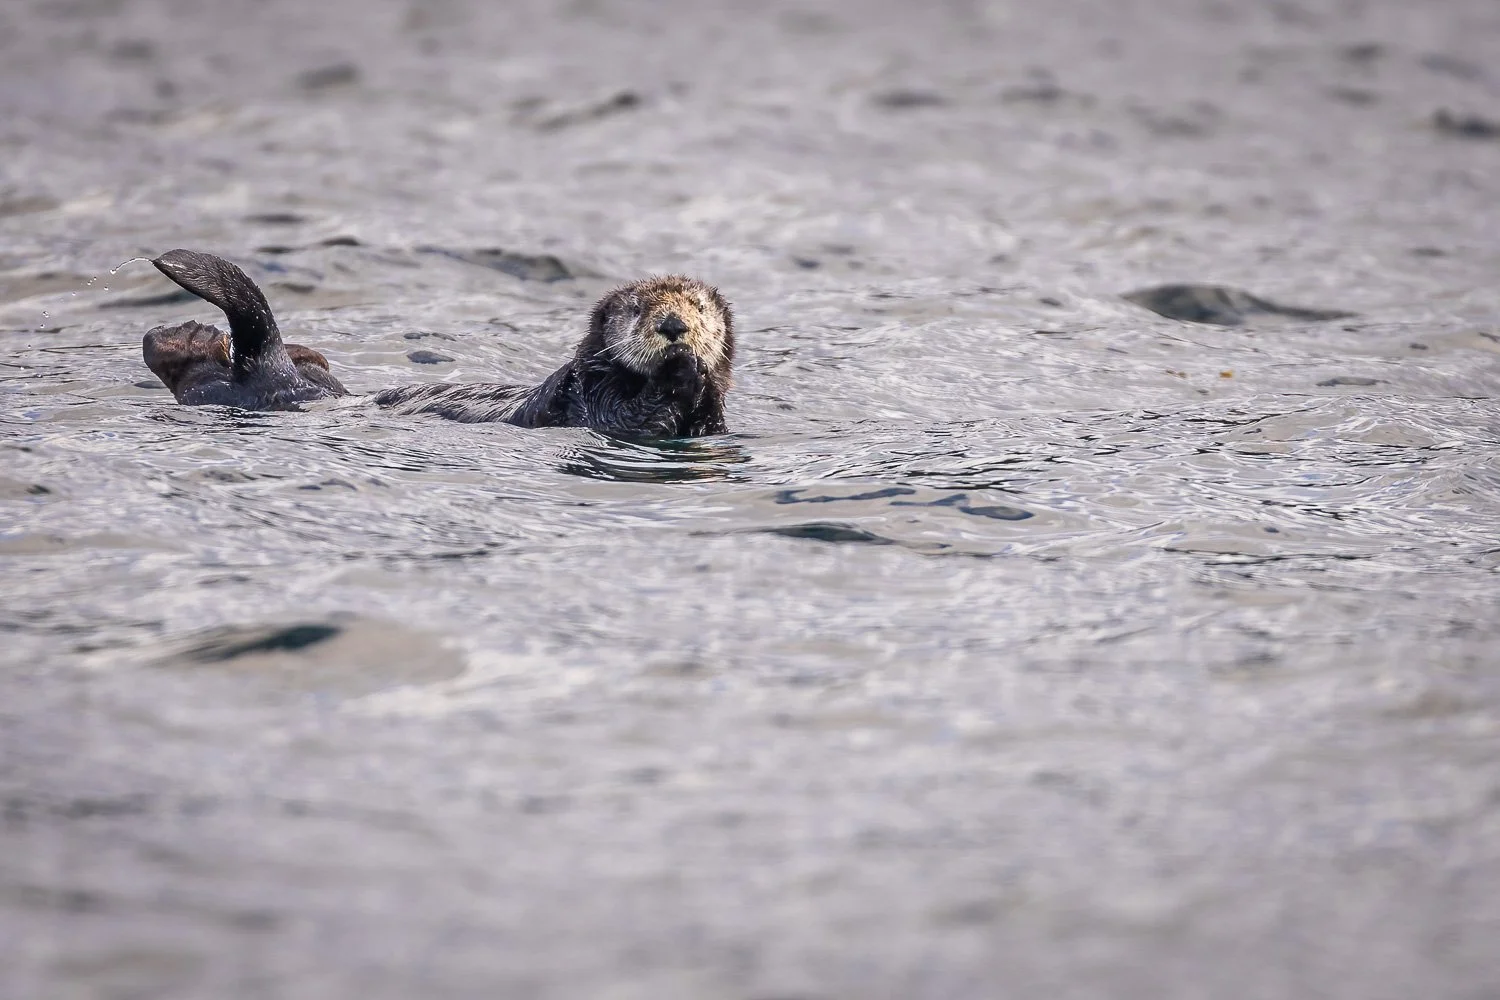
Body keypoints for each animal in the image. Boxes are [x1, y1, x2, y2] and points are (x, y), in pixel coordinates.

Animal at [139, 249, 734, 439]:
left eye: (698, 307)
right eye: (637, 310)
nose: (674, 327)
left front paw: (700, 378)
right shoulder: (595, 397)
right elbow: (638, 416)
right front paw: (682, 372)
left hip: (305, 374)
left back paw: (184, 337)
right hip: (258, 388)